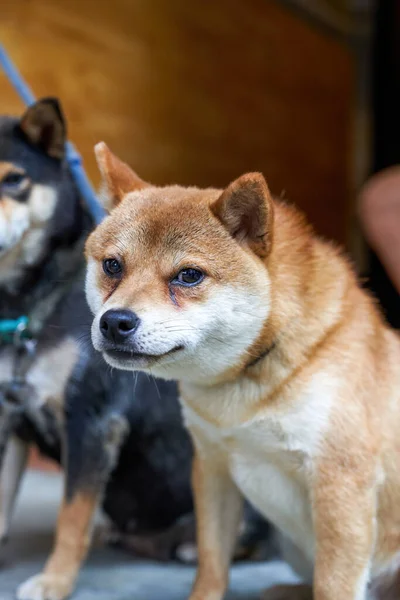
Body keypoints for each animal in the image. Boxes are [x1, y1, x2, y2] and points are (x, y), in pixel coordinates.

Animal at [86, 144, 400, 600]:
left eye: (189, 275)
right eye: (112, 266)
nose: (114, 322)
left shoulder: (341, 481)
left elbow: (334, 585)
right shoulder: (213, 468)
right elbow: (212, 563)